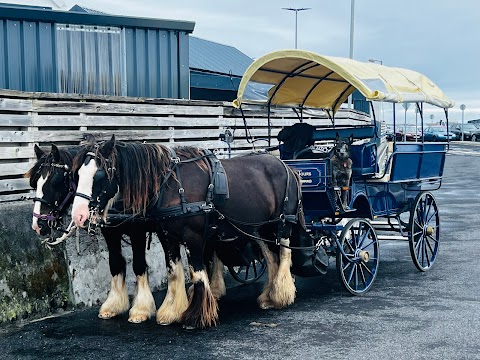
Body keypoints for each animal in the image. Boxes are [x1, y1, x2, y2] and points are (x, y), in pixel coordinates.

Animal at [71, 136, 304, 330]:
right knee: (271, 259)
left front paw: (196, 316)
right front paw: (170, 312)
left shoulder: (192, 237)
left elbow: (197, 274)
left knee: (284, 254)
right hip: (259, 228)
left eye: (99, 174)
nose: (78, 215)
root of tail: (288, 167)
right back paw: (268, 297)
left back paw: (282, 295)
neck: (170, 186)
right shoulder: (167, 236)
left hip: (282, 225)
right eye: (77, 175)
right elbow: (173, 272)